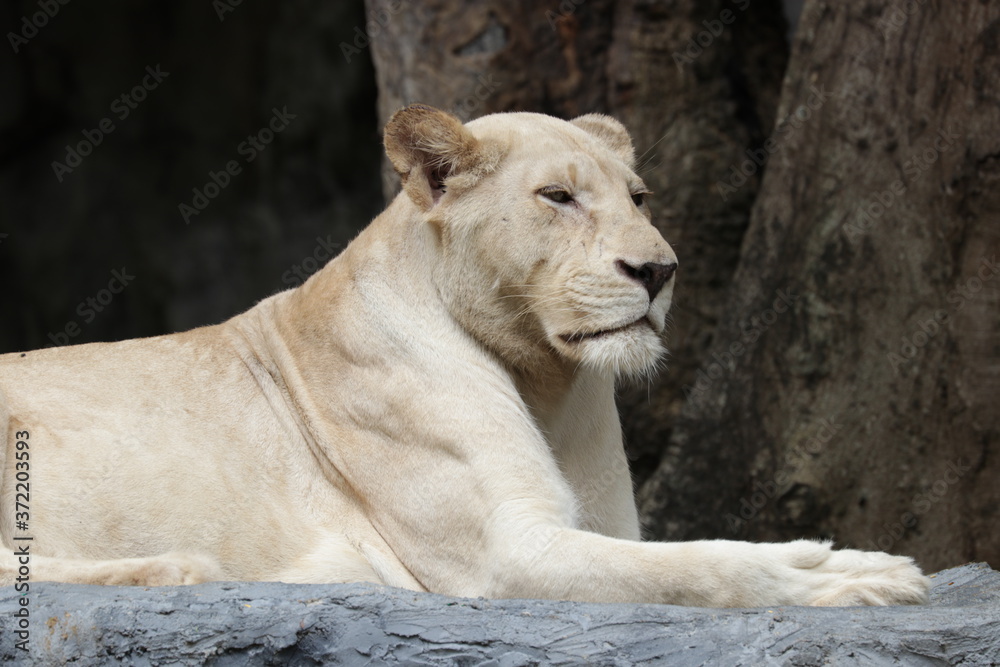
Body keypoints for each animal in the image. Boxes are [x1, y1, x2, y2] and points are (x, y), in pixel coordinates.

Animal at [0, 105, 929, 606]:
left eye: (638, 198)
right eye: (558, 197)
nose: (659, 270)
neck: (547, 378)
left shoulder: (601, 525)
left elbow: (677, 555)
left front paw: (854, 562)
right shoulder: (502, 555)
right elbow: (702, 566)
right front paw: (850, 574)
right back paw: (185, 567)